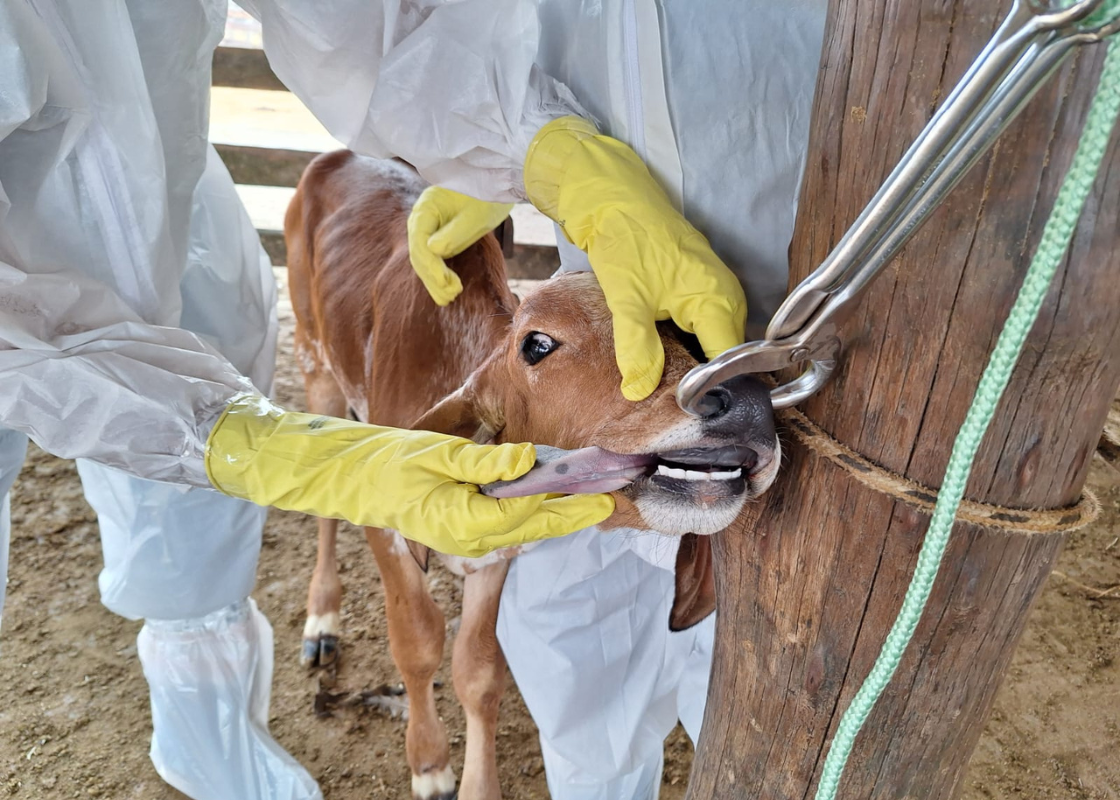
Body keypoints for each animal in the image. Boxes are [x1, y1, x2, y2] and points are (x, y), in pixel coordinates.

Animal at [284, 151, 784, 797]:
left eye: (688, 334)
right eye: (538, 343)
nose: (749, 401)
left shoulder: (497, 554)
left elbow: (478, 672)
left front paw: (477, 783)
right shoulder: (388, 528)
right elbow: (417, 645)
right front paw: (429, 764)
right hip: (314, 360)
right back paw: (321, 618)